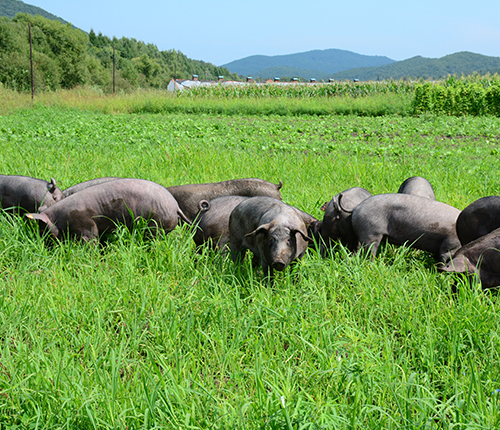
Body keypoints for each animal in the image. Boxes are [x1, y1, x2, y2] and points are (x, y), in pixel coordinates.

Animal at [27, 179, 191, 242]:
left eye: (42, 230)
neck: (59, 218)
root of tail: (175, 206)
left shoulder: (85, 223)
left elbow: (91, 238)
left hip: (155, 226)